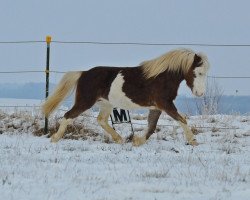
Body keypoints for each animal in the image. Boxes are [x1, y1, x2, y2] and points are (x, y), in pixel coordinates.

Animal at [42, 48, 209, 145]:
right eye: (198, 72)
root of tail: (83, 73)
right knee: (68, 115)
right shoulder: (165, 104)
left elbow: (152, 126)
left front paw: (137, 140)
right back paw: (55, 138)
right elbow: (182, 119)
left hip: (106, 104)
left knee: (101, 120)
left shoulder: (156, 107)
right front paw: (193, 141)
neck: (161, 78)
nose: (200, 93)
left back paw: (119, 139)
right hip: (85, 101)